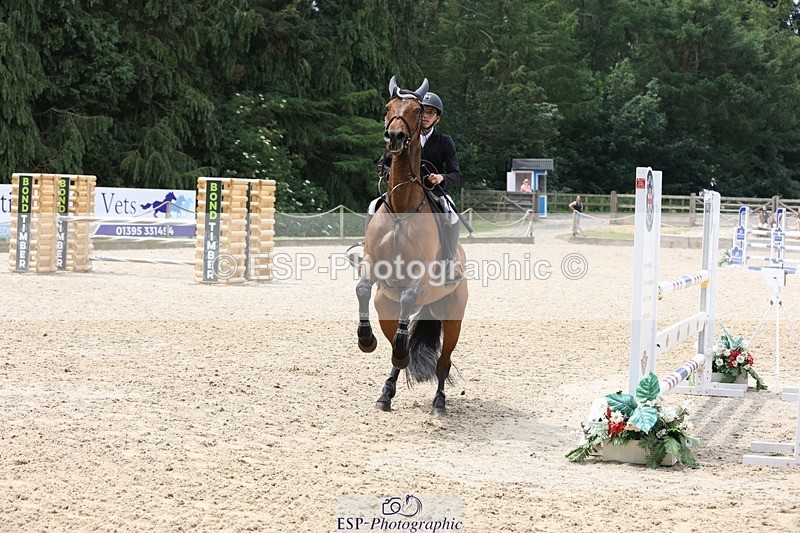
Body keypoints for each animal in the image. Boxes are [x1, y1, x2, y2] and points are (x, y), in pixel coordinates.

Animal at [355, 76, 468, 416]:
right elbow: (362, 288)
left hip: (453, 316)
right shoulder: (372, 262)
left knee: (443, 362)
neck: (403, 206)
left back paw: (439, 402)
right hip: (386, 307)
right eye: (388, 107)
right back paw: (386, 391)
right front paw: (365, 340)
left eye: (418, 111)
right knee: (395, 343)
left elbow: (408, 295)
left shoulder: (420, 272)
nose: (395, 137)